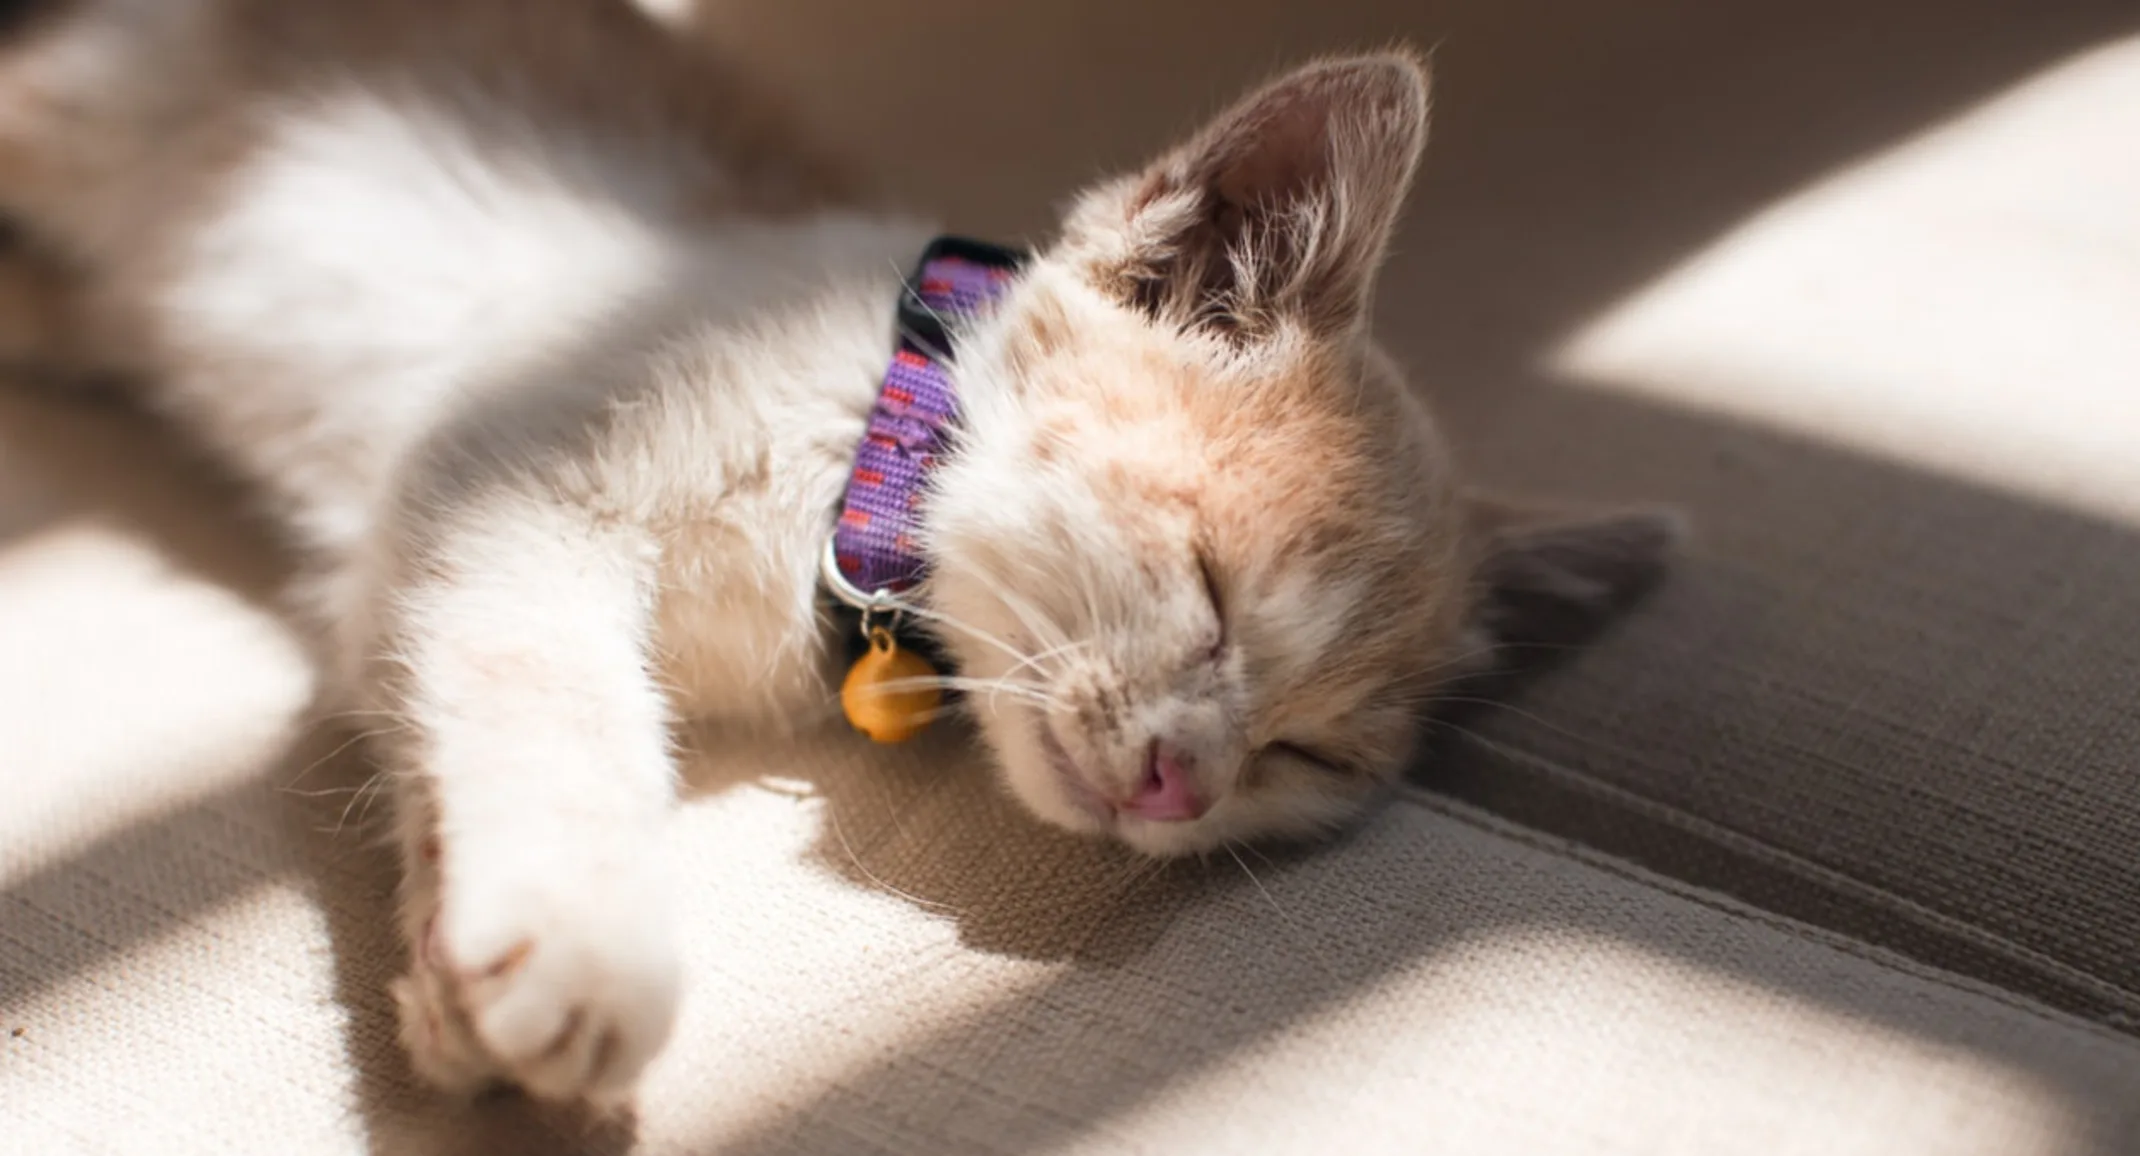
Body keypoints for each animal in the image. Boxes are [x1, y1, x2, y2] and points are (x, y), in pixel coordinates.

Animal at [0, 0, 1677, 1113]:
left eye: (1310, 755)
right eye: (1206, 586)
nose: (1179, 785)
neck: (855, 450)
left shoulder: (427, 549)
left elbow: (425, 686)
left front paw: (459, 990)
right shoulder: (495, 482)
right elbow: (554, 695)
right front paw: (585, 950)